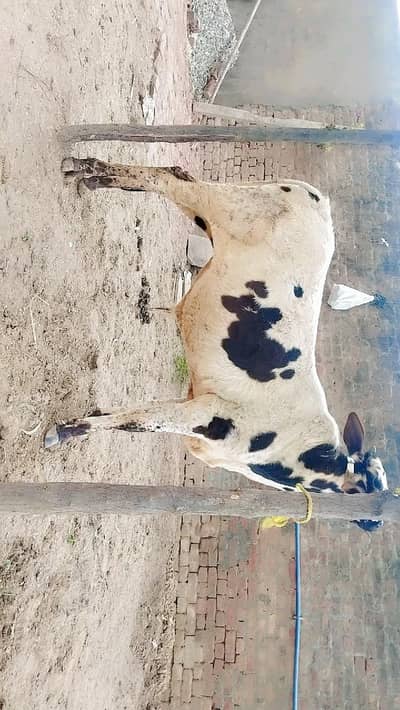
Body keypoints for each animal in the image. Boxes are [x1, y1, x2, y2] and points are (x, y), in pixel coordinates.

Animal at [45, 156, 388, 531]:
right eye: (369, 487)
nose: (375, 523)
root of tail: (315, 196)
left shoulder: (195, 402)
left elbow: (133, 412)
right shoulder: (207, 414)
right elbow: (136, 422)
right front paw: (63, 431)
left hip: (216, 212)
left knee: (176, 176)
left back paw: (90, 174)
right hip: (227, 208)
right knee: (170, 178)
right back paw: (84, 168)